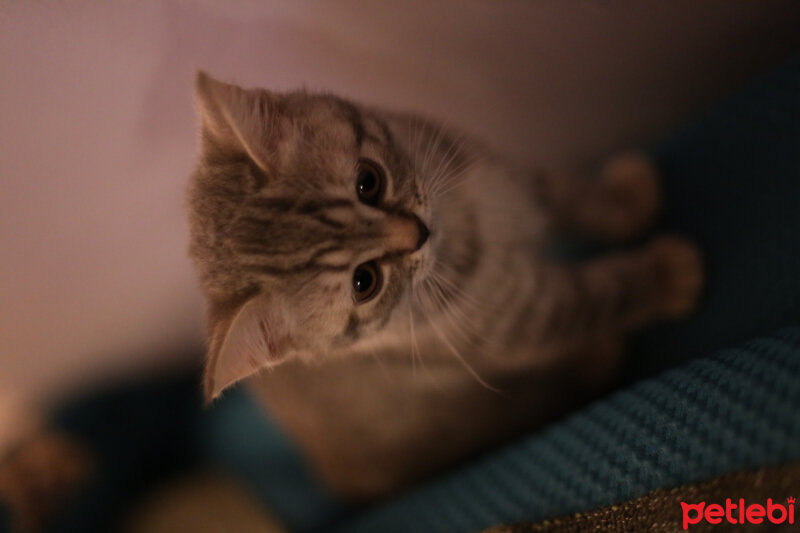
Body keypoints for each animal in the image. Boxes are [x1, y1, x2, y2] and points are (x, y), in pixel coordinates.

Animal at [188, 71, 700, 498]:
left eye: (368, 182)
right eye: (364, 281)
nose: (418, 232)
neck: (470, 228)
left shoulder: (519, 179)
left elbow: (583, 199)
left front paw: (633, 198)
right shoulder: (522, 318)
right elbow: (604, 294)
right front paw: (670, 274)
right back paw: (597, 355)